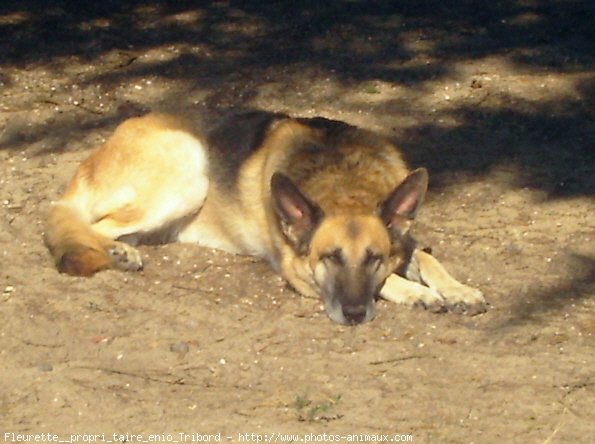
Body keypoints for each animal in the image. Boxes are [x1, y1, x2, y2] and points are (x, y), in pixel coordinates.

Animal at [44, 111, 486, 324]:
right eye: (331, 258)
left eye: (373, 257)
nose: (354, 316)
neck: (344, 180)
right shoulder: (300, 273)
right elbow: (391, 282)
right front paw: (417, 293)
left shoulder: (402, 240)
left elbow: (425, 256)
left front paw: (459, 289)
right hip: (189, 172)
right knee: (95, 226)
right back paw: (116, 252)